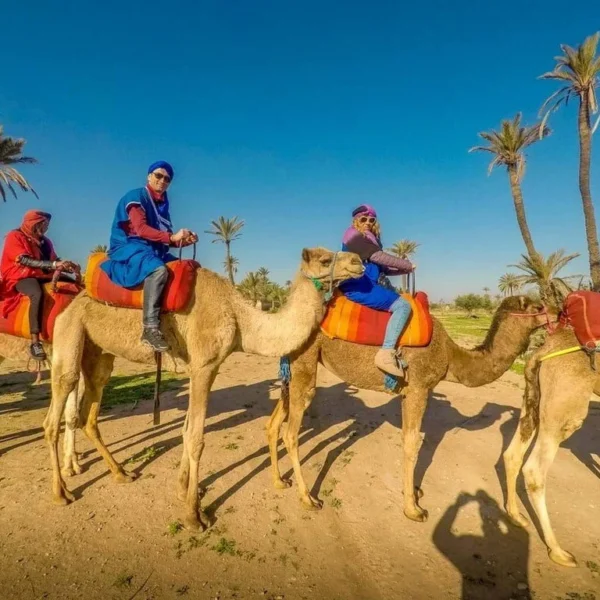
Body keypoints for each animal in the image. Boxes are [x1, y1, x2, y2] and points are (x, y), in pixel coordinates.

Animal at [43, 248, 360, 528]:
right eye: (324, 259)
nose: (358, 261)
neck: (238, 317)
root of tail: (71, 299)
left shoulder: (209, 367)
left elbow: (186, 431)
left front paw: (185, 489)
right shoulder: (203, 366)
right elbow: (196, 438)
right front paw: (194, 516)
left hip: (98, 353)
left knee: (90, 412)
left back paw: (121, 473)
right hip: (68, 333)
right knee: (56, 408)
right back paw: (61, 492)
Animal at [264, 296, 548, 520]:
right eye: (538, 306)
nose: (555, 313)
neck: (450, 356)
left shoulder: (411, 392)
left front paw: (413, 493)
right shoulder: (418, 388)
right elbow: (412, 443)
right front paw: (413, 508)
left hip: (292, 368)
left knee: (274, 422)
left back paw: (279, 481)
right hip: (305, 361)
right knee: (291, 431)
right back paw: (308, 499)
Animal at [504, 328, 596, 568]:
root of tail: (542, 352)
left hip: (532, 396)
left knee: (512, 454)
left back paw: (515, 516)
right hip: (565, 404)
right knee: (534, 470)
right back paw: (558, 551)